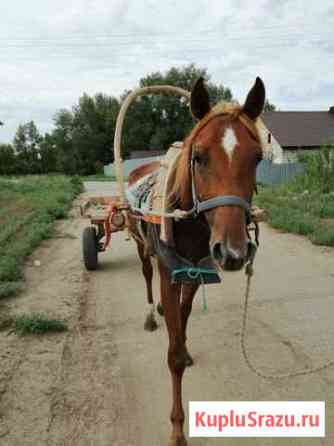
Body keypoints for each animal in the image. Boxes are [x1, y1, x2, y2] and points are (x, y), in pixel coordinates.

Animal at [126, 76, 264, 446]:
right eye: (198, 157)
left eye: (258, 158)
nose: (233, 252)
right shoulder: (168, 270)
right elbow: (172, 356)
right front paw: (177, 429)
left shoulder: (195, 268)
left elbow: (184, 315)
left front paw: (185, 346)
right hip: (142, 247)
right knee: (146, 274)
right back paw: (150, 313)